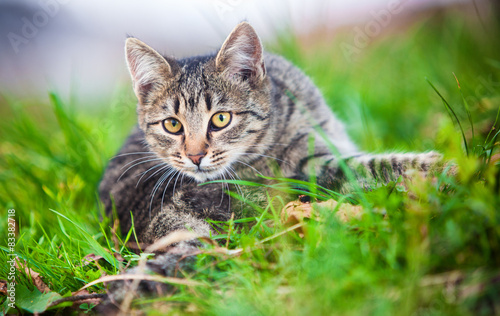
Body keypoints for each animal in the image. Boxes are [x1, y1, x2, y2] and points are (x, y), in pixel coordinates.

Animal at [97, 21, 442, 298]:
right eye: (172, 125)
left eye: (221, 118)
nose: (195, 156)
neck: (282, 119)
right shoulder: (315, 170)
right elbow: (381, 166)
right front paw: (445, 164)